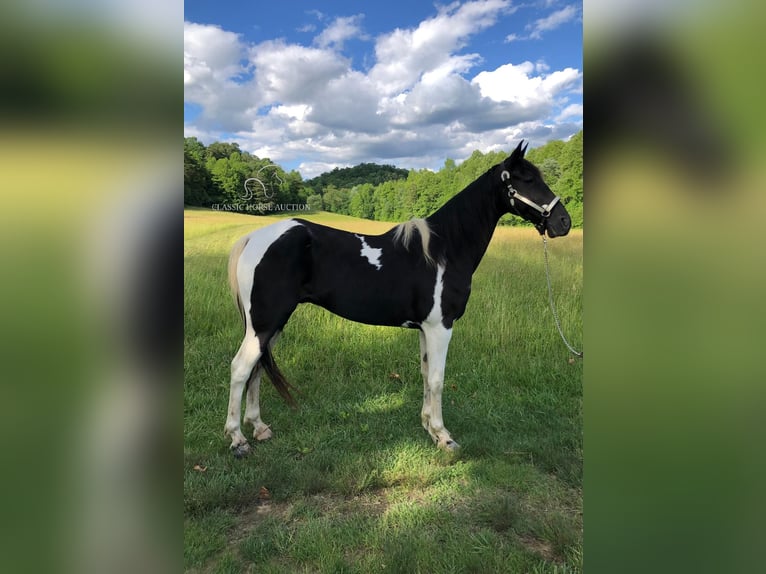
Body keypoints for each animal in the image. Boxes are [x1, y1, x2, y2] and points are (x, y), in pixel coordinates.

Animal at [225, 141, 572, 460]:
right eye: (528, 179)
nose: (563, 222)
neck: (445, 250)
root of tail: (253, 239)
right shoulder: (440, 327)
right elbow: (437, 379)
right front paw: (445, 438)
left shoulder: (425, 329)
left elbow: (425, 374)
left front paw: (430, 429)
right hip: (265, 324)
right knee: (241, 368)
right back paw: (238, 439)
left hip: (272, 325)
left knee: (257, 369)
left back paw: (259, 428)